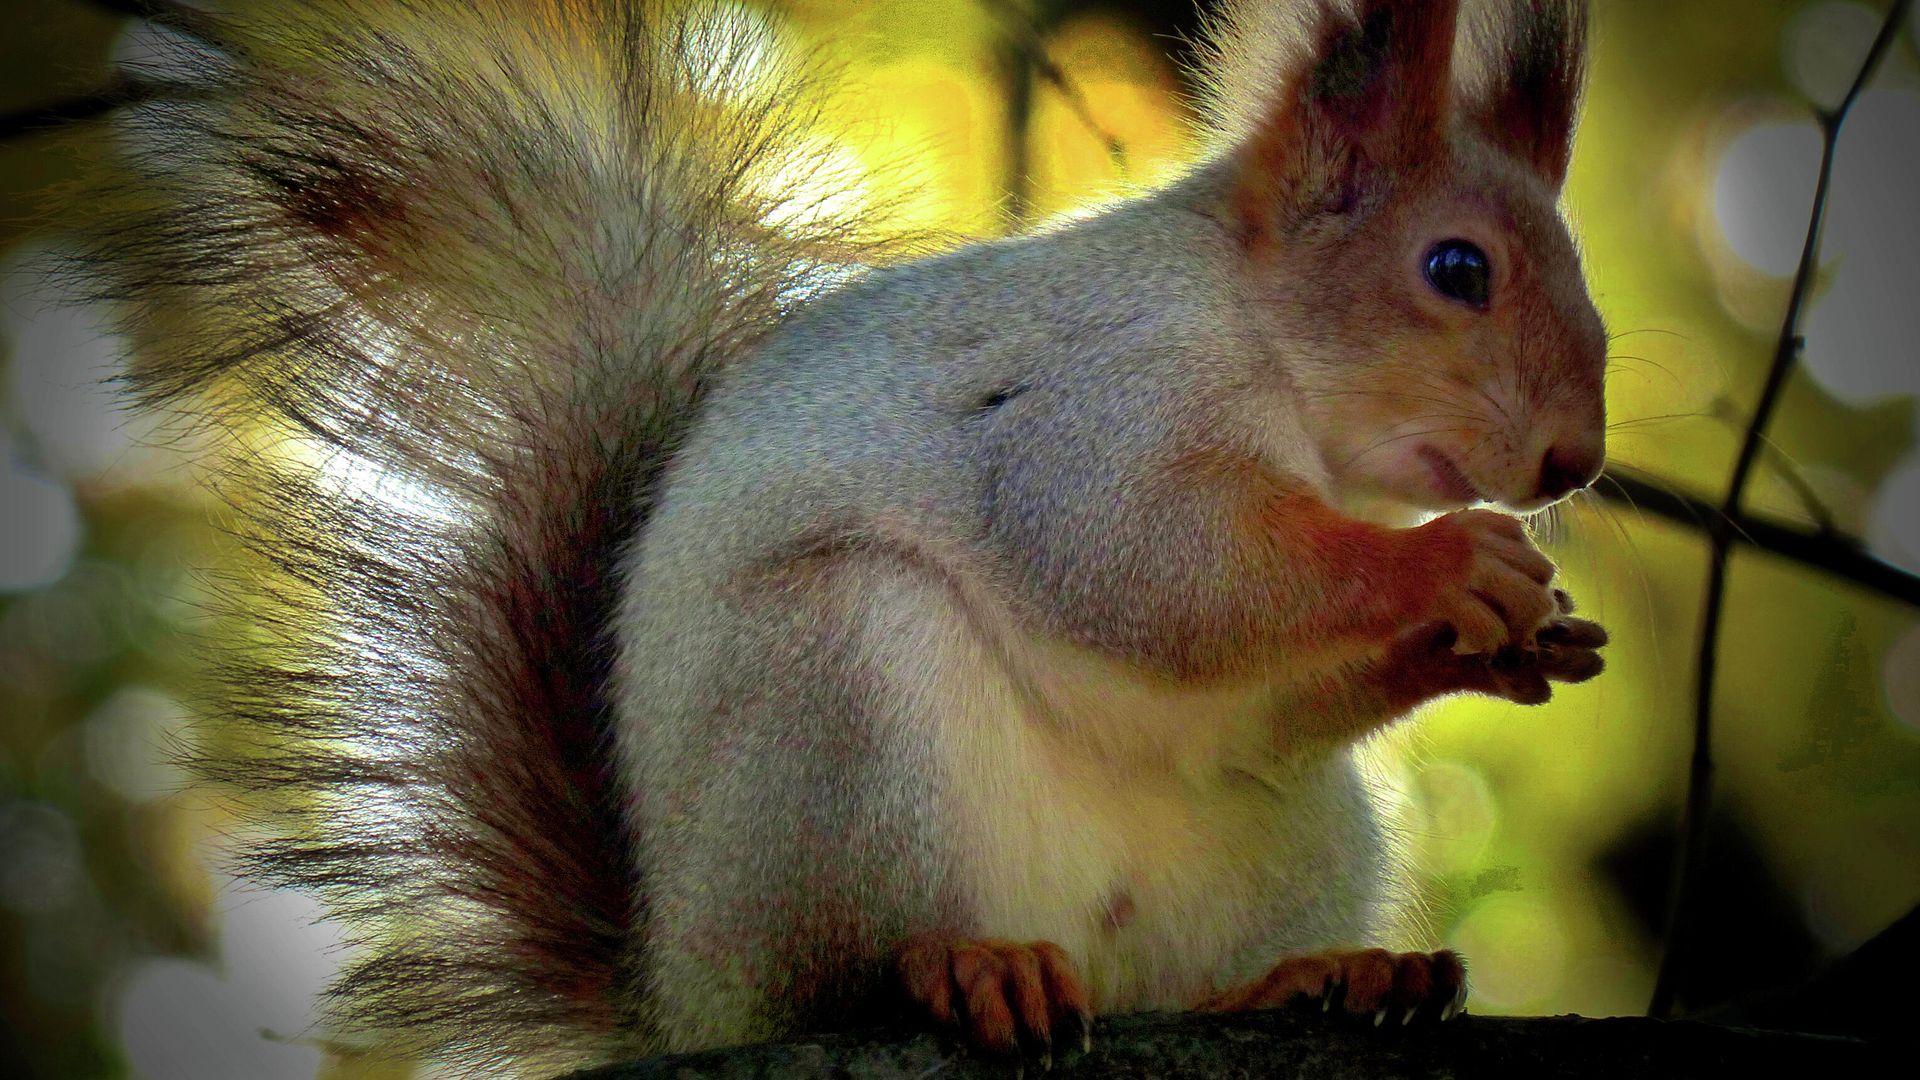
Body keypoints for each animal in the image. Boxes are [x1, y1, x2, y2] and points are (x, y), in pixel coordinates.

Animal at [86, 0, 1609, 1074]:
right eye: (1456, 269)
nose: (1573, 462)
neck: (1265, 339)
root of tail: (683, 997)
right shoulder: (1092, 403)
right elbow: (1148, 564)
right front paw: (1449, 565)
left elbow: (1263, 699)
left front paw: (1508, 640)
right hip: (837, 700)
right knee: (850, 965)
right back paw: (961, 969)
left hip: (1289, 838)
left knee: (1206, 943)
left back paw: (1320, 977)